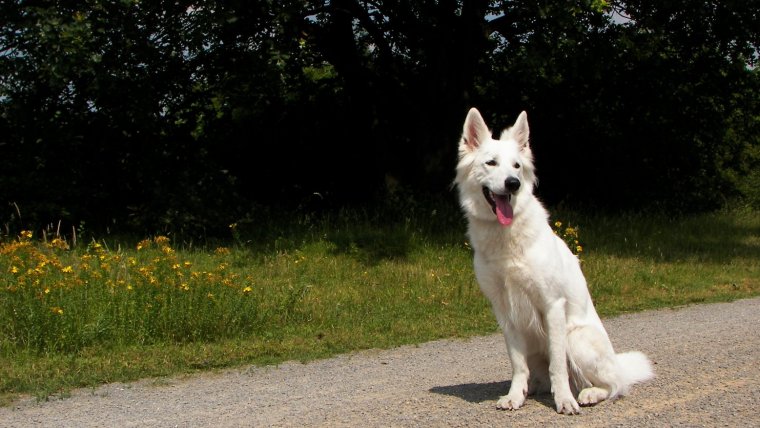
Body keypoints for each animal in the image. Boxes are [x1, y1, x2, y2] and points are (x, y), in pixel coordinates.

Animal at [452, 108, 652, 414]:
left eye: (517, 166)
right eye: (491, 163)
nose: (513, 184)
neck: (506, 238)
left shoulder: (552, 305)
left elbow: (558, 366)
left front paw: (565, 401)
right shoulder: (505, 311)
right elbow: (517, 365)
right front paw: (515, 396)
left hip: (576, 338)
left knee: (614, 385)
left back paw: (588, 393)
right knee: (539, 376)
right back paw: (532, 388)